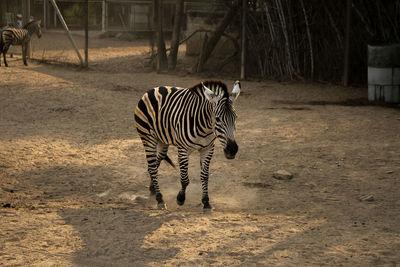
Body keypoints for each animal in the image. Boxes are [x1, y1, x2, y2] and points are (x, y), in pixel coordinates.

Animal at [134, 80, 241, 213]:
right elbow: (185, 179)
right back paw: (160, 200)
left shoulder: (208, 149)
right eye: (217, 119)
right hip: (148, 137)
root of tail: (153, 89)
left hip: (162, 141)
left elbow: (205, 176)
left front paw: (206, 202)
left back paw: (152, 190)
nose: (232, 150)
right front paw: (180, 198)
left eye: (235, 117)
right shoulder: (183, 150)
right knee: (153, 167)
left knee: (154, 164)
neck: (205, 127)